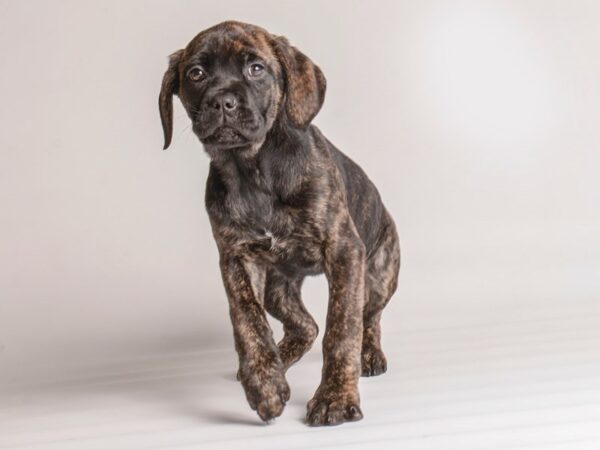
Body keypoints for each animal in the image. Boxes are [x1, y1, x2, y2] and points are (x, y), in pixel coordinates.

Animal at [159, 21, 400, 428]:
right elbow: (247, 321)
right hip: (278, 287)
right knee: (305, 325)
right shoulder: (236, 258)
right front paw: (264, 384)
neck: (253, 169)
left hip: (379, 274)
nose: (222, 102)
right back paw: (277, 358)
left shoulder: (344, 251)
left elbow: (342, 328)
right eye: (196, 73)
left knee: (368, 316)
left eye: (256, 69)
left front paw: (334, 398)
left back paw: (369, 355)